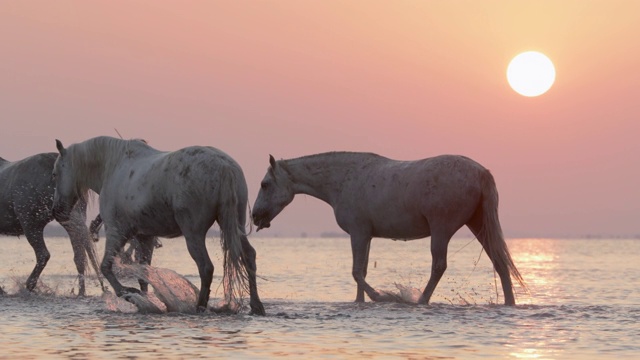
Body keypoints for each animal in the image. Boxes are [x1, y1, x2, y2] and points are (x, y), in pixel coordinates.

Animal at [0, 152, 102, 296]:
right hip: (70, 219)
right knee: (80, 256)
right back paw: (82, 292)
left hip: (31, 225)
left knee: (43, 254)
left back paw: (30, 285)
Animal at [50, 136, 264, 314]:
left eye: (55, 173)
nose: (56, 210)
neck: (112, 167)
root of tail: (224, 167)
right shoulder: (144, 237)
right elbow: (143, 274)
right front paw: (145, 300)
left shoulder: (117, 232)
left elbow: (106, 267)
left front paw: (128, 294)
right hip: (235, 226)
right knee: (249, 257)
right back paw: (256, 306)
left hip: (193, 234)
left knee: (205, 267)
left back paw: (200, 307)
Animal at [252, 153, 528, 306]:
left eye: (265, 184)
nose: (254, 216)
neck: (343, 179)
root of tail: (481, 172)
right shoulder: (366, 236)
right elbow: (361, 271)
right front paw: (360, 301)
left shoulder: (358, 233)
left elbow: (356, 272)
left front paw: (384, 297)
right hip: (479, 226)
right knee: (500, 263)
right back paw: (509, 303)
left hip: (442, 230)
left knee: (439, 266)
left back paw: (421, 300)